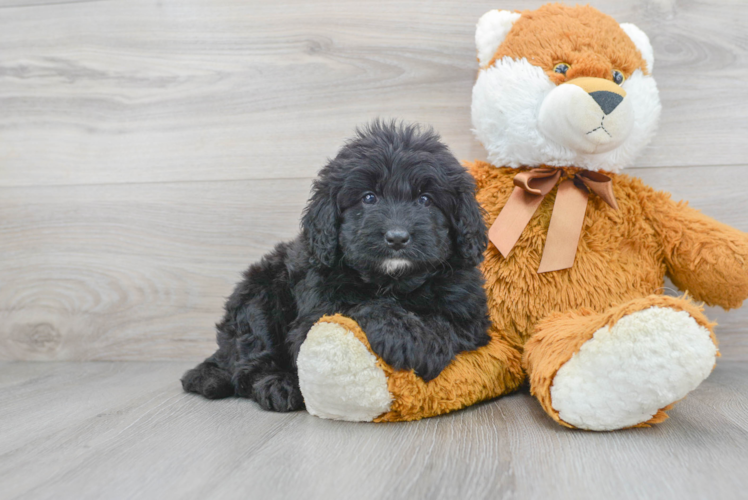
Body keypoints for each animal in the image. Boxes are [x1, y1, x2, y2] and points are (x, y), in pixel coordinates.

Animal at [181, 121, 490, 410]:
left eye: (425, 199)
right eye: (368, 197)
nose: (397, 237)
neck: (392, 282)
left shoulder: (471, 314)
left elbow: (447, 324)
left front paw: (423, 343)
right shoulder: (314, 312)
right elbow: (358, 306)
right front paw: (402, 334)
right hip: (259, 297)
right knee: (251, 361)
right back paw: (278, 385)